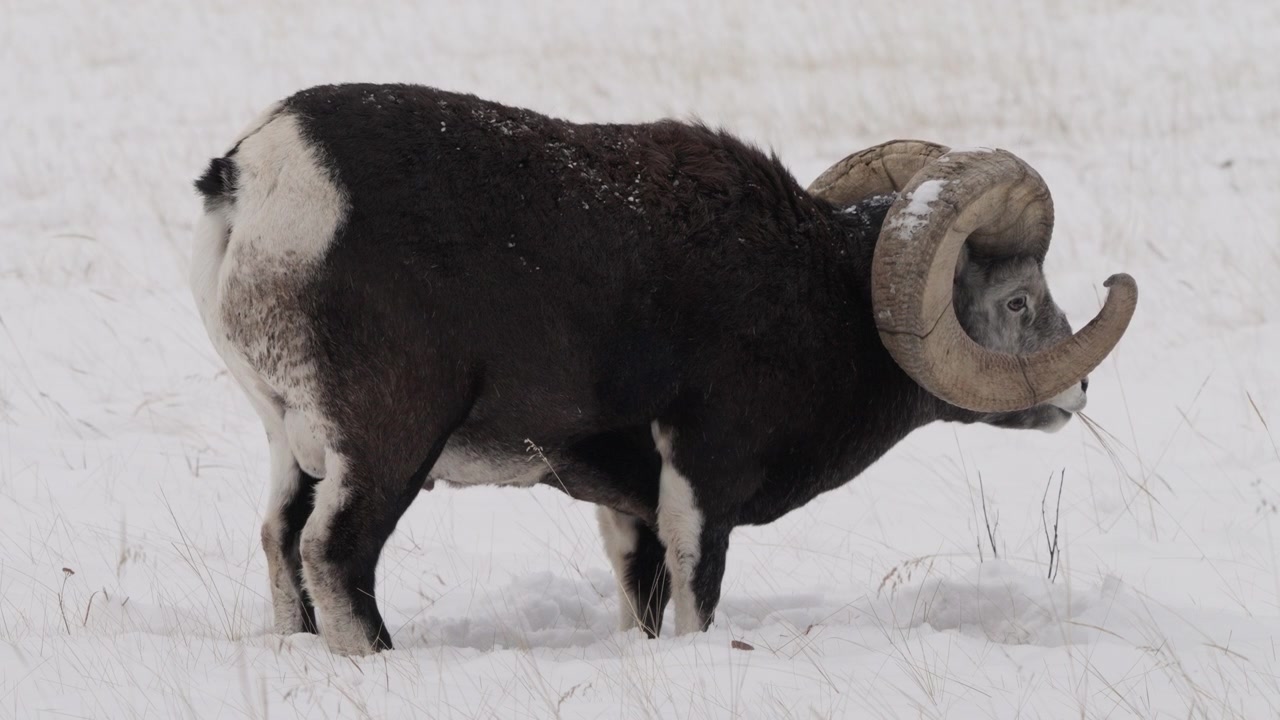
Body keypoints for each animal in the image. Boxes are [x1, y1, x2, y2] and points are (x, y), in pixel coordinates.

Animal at [190, 83, 1137, 655]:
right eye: (1017, 302)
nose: (1078, 391)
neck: (818, 294)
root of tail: (263, 174)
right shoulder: (701, 481)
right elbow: (697, 594)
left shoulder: (630, 504)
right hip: (387, 447)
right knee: (336, 554)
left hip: (298, 447)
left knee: (283, 540)